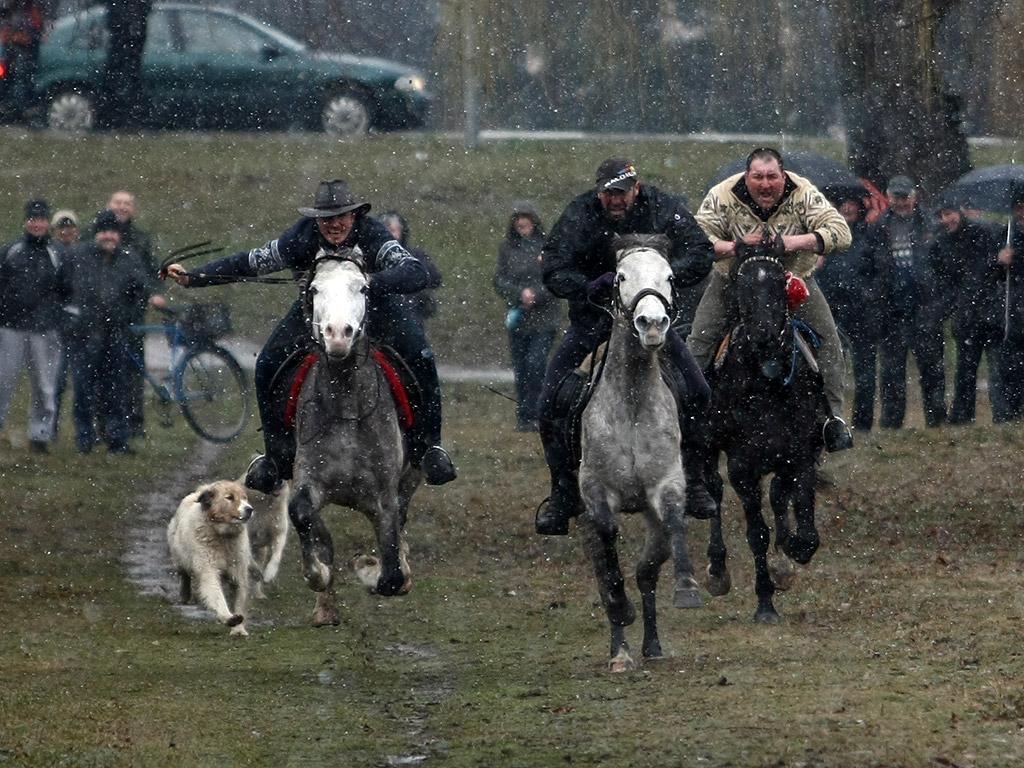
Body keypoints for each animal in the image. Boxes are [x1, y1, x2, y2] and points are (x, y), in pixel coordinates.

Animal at [168, 481, 254, 638]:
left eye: (245, 498)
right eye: (229, 497)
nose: (249, 509)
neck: (222, 536)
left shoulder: (238, 573)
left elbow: (239, 599)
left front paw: (239, 629)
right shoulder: (208, 571)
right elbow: (217, 595)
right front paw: (228, 618)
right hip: (179, 558)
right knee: (184, 575)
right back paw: (184, 594)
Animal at [288, 249, 419, 626]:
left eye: (363, 288)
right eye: (314, 289)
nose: (337, 335)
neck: (346, 403)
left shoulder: (385, 496)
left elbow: (391, 574)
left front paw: (367, 566)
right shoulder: (307, 480)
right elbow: (302, 515)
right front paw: (319, 575)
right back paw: (325, 608)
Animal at [577, 234, 704, 671]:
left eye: (670, 276)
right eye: (619, 276)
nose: (651, 323)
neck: (631, 398)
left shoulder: (667, 481)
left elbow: (675, 522)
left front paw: (687, 588)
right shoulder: (593, 489)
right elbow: (608, 533)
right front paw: (621, 609)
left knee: (648, 569)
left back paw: (652, 644)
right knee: (603, 571)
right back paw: (621, 651)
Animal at [700, 236, 827, 626]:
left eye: (777, 284)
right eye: (742, 286)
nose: (764, 336)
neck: (767, 381)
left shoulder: (800, 455)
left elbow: (805, 532)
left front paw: (787, 557)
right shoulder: (743, 468)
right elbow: (756, 532)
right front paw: (765, 602)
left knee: (776, 496)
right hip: (707, 450)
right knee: (712, 494)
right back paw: (717, 572)